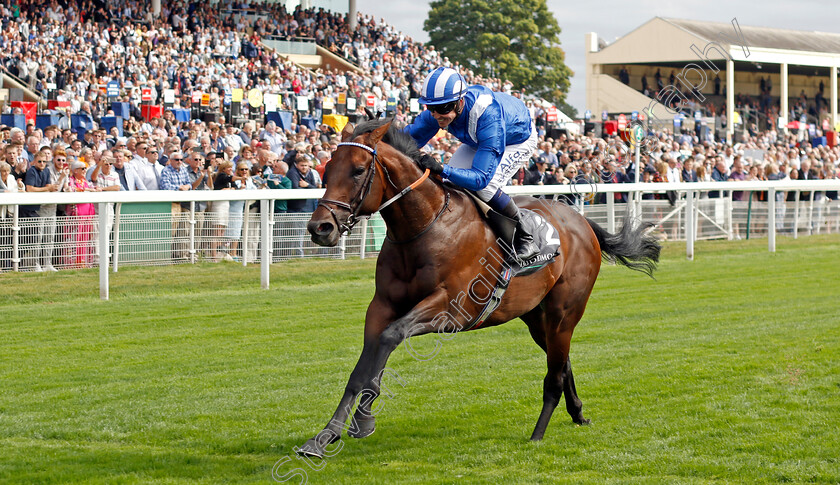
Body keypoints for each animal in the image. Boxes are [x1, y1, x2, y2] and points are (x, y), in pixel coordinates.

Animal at [298, 119, 660, 456]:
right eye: (327, 168)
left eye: (358, 170)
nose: (320, 228)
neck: (426, 226)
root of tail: (581, 221)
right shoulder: (382, 305)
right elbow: (362, 368)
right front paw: (324, 437)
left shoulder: (451, 310)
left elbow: (390, 337)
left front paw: (363, 419)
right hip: (536, 316)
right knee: (563, 361)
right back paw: (578, 413)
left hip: (564, 312)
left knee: (555, 373)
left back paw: (538, 433)